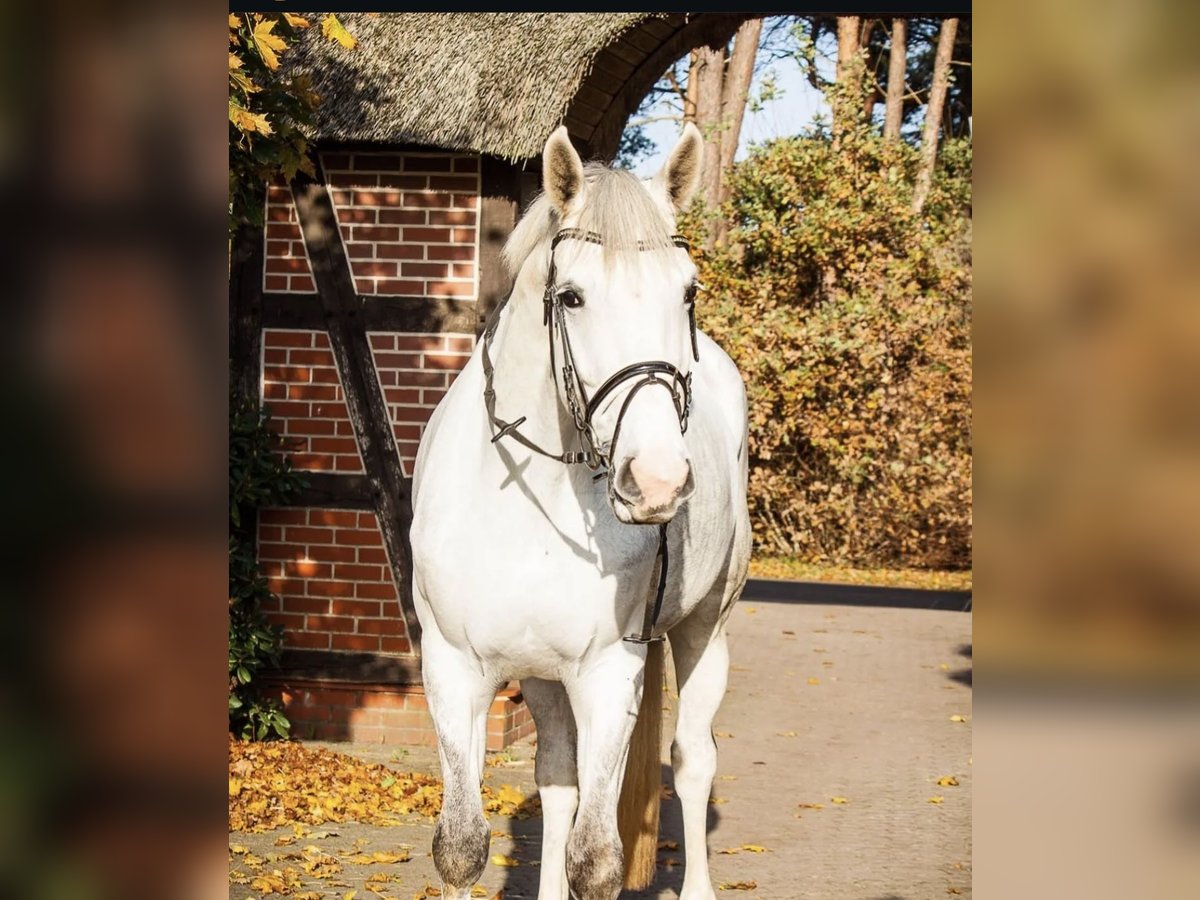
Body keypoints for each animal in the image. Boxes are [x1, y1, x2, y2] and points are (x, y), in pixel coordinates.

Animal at [412, 125, 748, 900]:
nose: (657, 480)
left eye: (688, 291)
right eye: (570, 297)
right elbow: (462, 847)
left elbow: (595, 858)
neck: (525, 504)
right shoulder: (453, 669)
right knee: (558, 779)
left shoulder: (607, 673)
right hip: (542, 678)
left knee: (693, 762)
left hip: (704, 632)